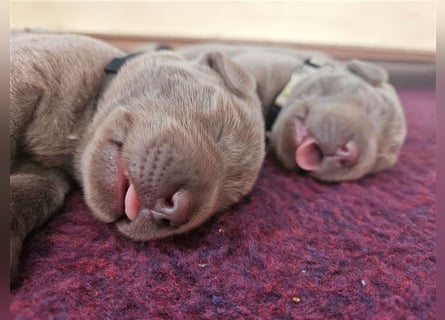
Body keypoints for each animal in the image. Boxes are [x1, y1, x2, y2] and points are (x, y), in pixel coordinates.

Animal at [10, 33, 266, 286]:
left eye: (222, 205)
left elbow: (42, 190)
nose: (177, 209)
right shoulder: (29, 72)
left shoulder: (50, 174)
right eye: (220, 131)